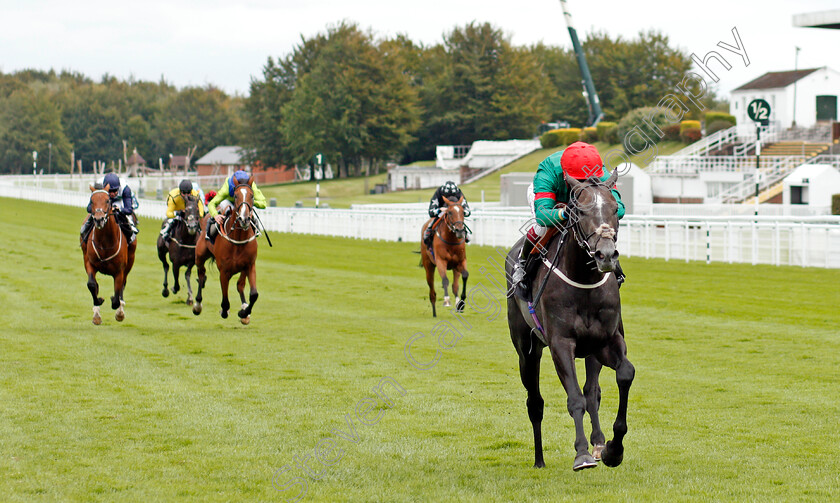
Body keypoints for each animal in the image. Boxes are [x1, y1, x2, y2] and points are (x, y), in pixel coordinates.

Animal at [81, 185, 136, 326]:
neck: (105, 243)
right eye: (92, 201)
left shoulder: (119, 271)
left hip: (130, 261)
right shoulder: (89, 262)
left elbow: (116, 296)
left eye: (107, 201)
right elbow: (91, 284)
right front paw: (98, 304)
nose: (99, 219)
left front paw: (118, 310)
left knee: (123, 285)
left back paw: (121, 310)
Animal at [194, 179, 260, 324]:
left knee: (240, 285)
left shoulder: (250, 265)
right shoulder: (224, 271)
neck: (238, 238)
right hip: (199, 256)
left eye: (252, 196)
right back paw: (197, 304)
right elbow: (225, 301)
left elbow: (253, 294)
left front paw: (244, 312)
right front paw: (225, 311)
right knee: (201, 274)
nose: (244, 219)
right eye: (235, 196)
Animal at [502, 172, 632, 472]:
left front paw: (613, 450)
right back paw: (539, 459)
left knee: (592, 392)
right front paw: (582, 454)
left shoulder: (607, 341)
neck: (585, 282)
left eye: (614, 208)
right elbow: (574, 398)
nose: (606, 255)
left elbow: (623, 374)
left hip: (592, 351)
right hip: (526, 350)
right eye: (581, 212)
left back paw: (599, 444)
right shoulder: (561, 343)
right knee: (535, 403)